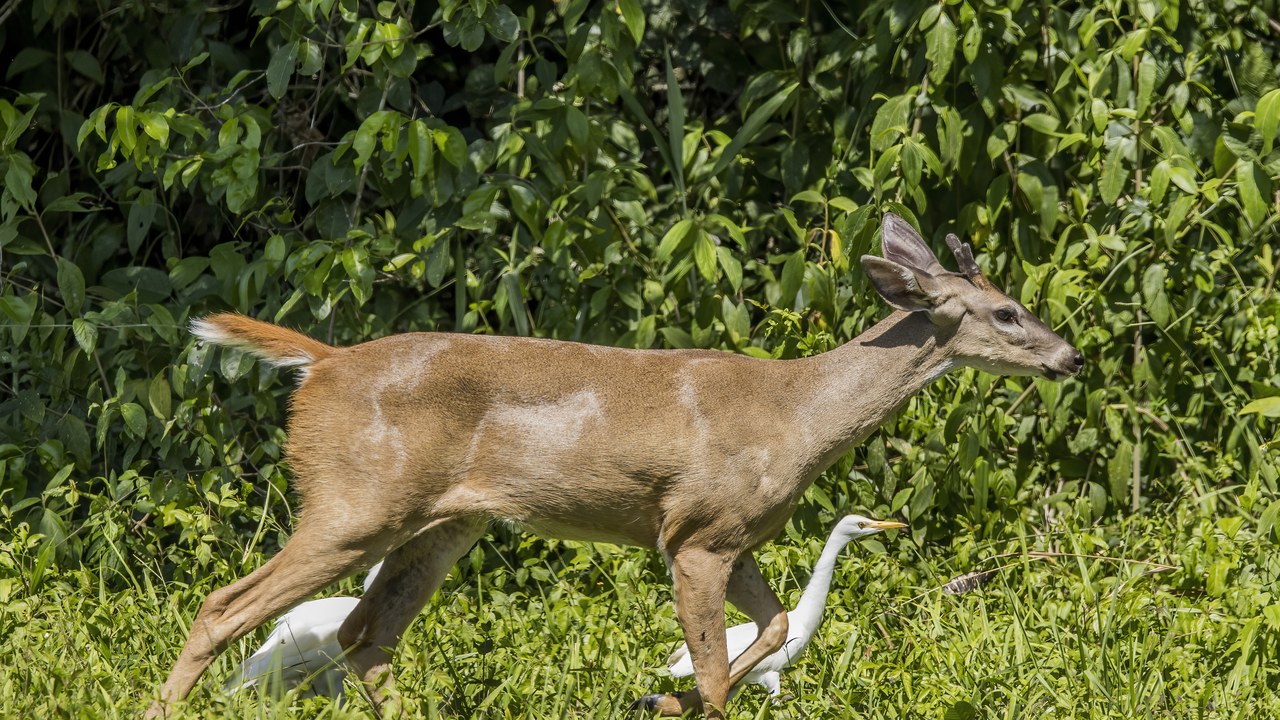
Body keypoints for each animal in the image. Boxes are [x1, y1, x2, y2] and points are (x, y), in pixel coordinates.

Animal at [148, 213, 1082, 718]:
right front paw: (675, 697)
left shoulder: (734, 536)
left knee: (364, 635)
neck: (797, 415)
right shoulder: (694, 532)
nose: (1070, 357)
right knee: (228, 606)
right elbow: (716, 672)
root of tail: (322, 364)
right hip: (355, 499)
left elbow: (771, 628)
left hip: (446, 523)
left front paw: (655, 697)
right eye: (1007, 311)